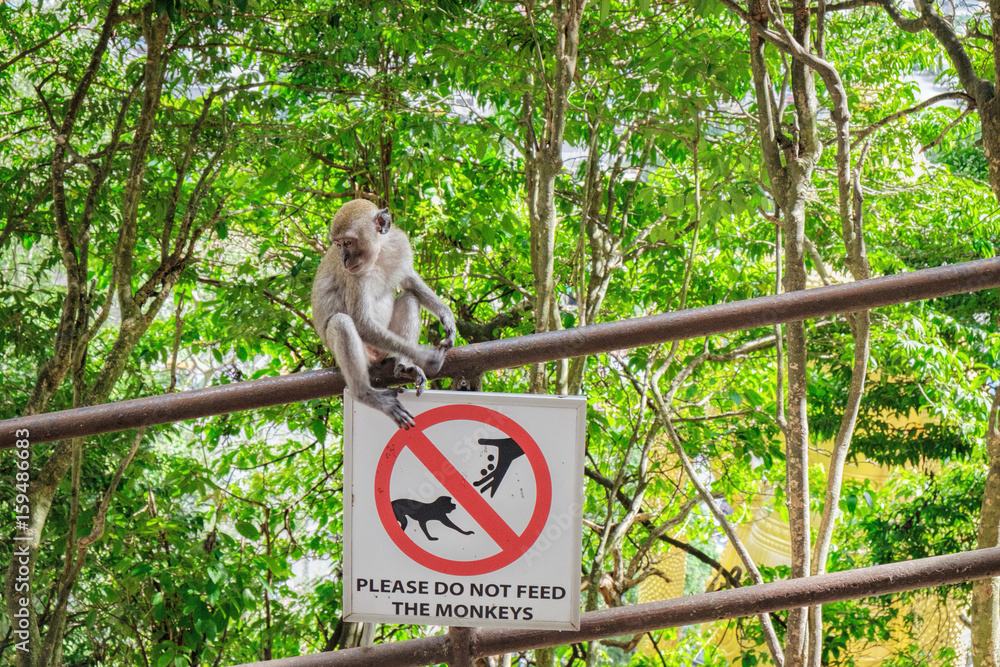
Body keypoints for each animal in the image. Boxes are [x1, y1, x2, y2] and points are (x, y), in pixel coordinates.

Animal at [311, 199, 456, 429]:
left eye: (348, 243)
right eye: (338, 245)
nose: (344, 260)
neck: (379, 253)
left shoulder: (399, 243)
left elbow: (409, 282)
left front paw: (446, 316)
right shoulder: (354, 276)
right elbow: (361, 322)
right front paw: (427, 357)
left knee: (409, 298)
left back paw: (405, 365)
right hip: (363, 350)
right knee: (341, 322)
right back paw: (365, 394)